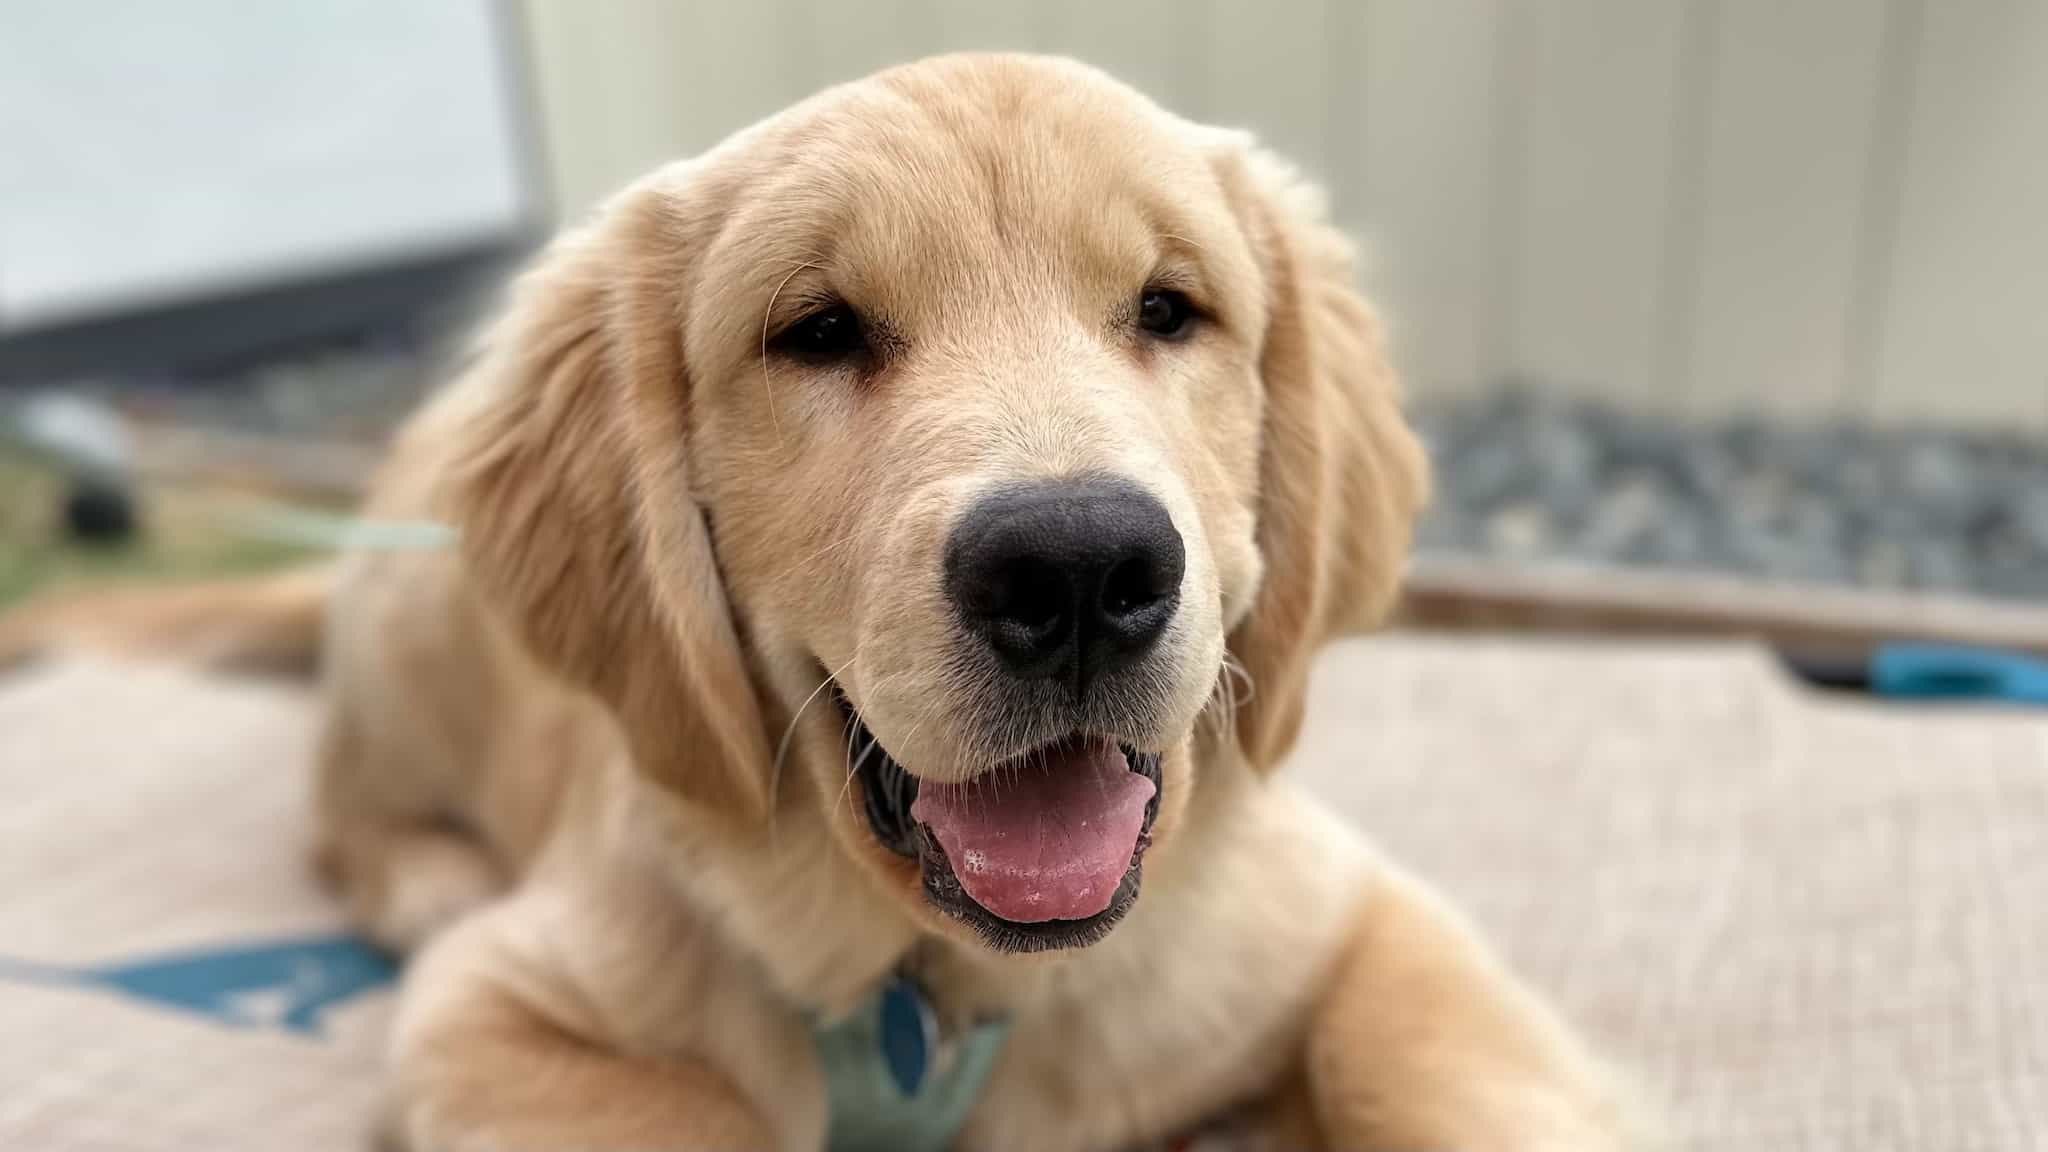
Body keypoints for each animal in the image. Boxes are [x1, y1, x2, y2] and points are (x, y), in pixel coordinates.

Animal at [0, 51, 1630, 1147]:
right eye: (819, 332)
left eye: (1170, 309)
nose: (1077, 570)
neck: (938, 998)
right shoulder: (495, 1013)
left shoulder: (1365, 924)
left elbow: (1444, 1076)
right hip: (406, 661)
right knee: (341, 819)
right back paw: (423, 872)